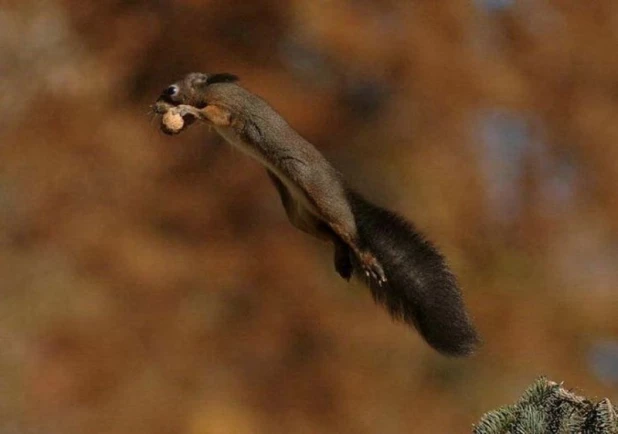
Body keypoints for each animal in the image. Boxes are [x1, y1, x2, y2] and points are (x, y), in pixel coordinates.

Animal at [152, 72, 478, 356]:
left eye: (171, 88)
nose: (158, 102)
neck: (206, 88)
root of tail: (342, 190)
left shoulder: (225, 104)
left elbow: (216, 114)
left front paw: (183, 109)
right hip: (299, 215)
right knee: (333, 236)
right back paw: (342, 259)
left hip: (320, 195)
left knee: (348, 231)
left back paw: (367, 259)